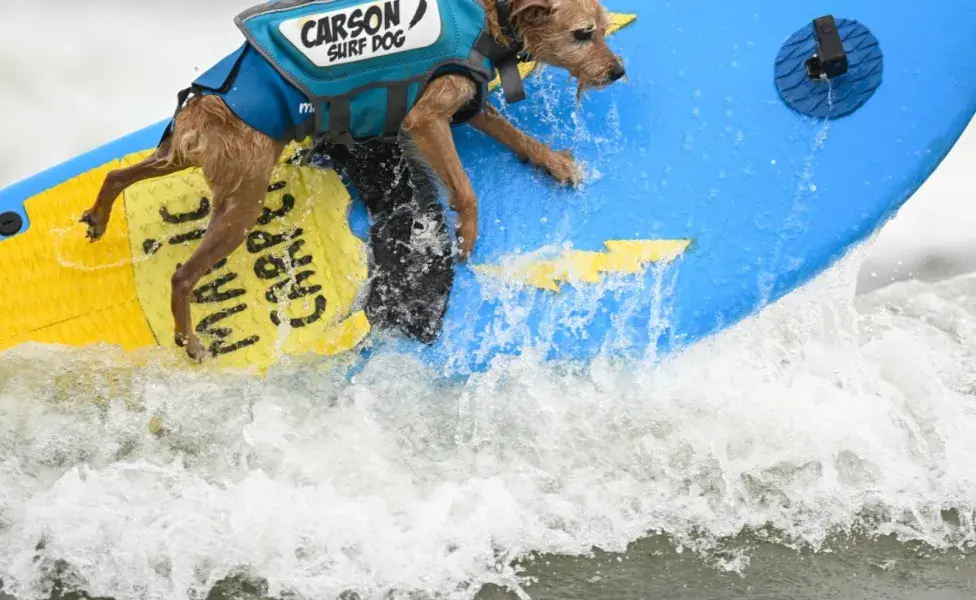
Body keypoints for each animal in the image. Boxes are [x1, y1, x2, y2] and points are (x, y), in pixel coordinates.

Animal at [78, 0, 624, 358]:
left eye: (603, 28)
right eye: (583, 33)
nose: (618, 71)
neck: (491, 15)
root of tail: (204, 108)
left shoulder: (470, 101)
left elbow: (516, 138)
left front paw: (554, 163)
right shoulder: (426, 119)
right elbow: (465, 189)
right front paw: (467, 233)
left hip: (184, 160)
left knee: (118, 174)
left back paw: (99, 216)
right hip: (240, 206)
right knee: (181, 275)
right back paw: (188, 337)